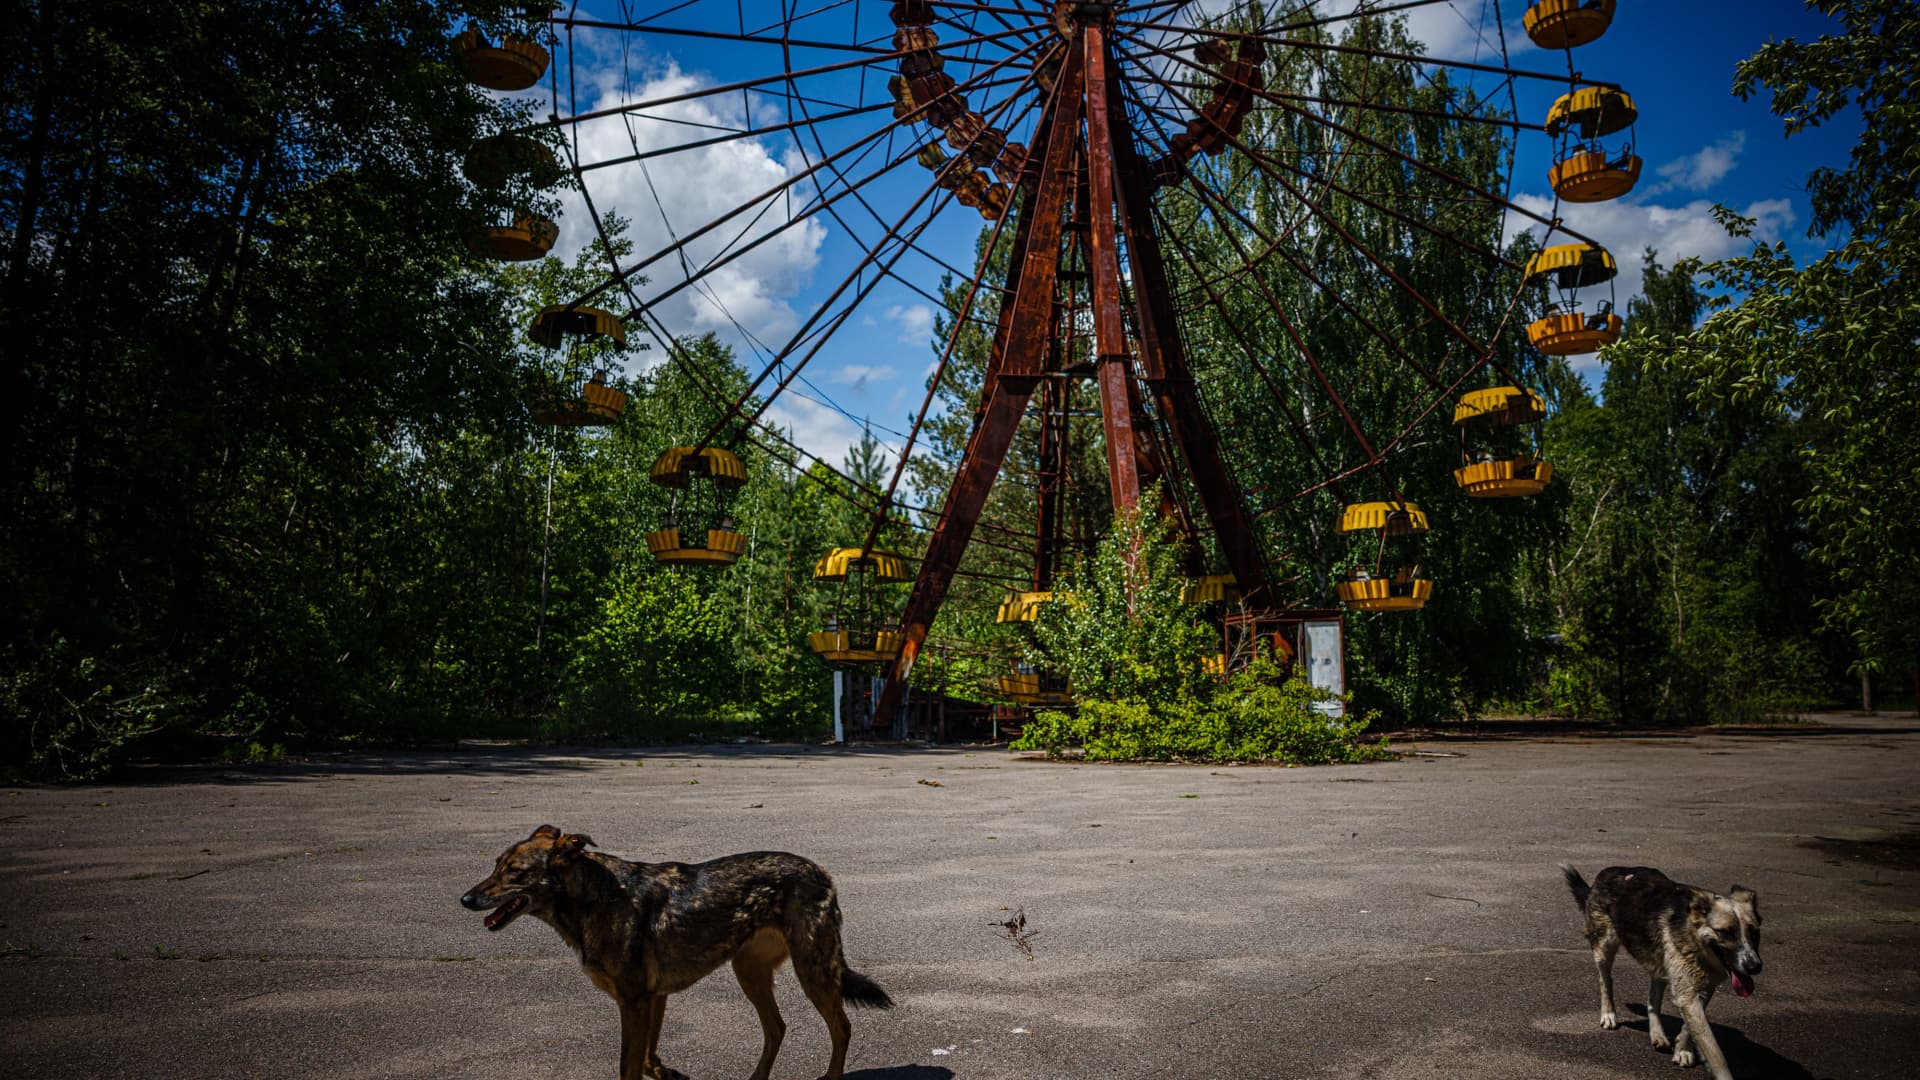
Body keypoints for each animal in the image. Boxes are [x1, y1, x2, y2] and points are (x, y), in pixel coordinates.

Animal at [464, 826, 890, 1068]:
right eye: (495, 865)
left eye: (514, 873)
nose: (465, 899)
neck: (596, 898)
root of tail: (821, 871)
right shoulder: (653, 999)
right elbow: (647, 1059)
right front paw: (664, 1072)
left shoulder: (634, 1002)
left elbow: (629, 1064)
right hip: (749, 972)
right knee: (777, 1029)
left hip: (812, 970)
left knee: (841, 1028)